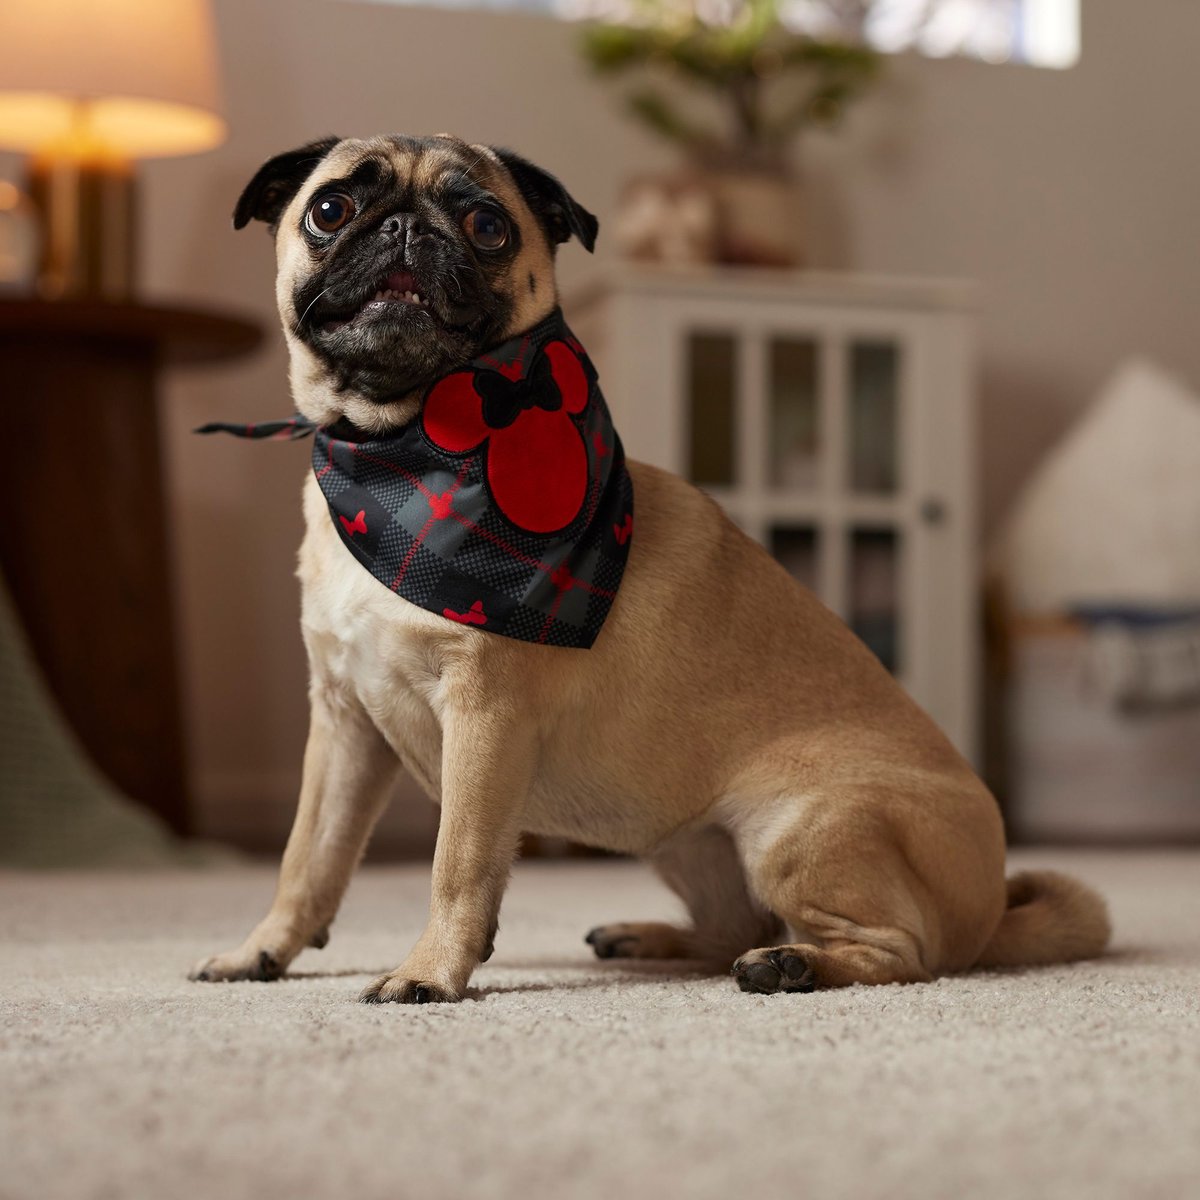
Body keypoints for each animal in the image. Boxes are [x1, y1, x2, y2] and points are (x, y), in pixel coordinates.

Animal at [189, 136, 1113, 1003]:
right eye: (331, 209)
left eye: (487, 225)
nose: (407, 227)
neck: (395, 448)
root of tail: (991, 912)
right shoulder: (344, 724)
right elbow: (308, 859)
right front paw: (262, 952)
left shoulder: (483, 718)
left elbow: (458, 865)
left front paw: (430, 973)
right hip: (685, 842)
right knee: (734, 922)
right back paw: (656, 938)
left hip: (802, 827)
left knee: (899, 954)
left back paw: (793, 966)